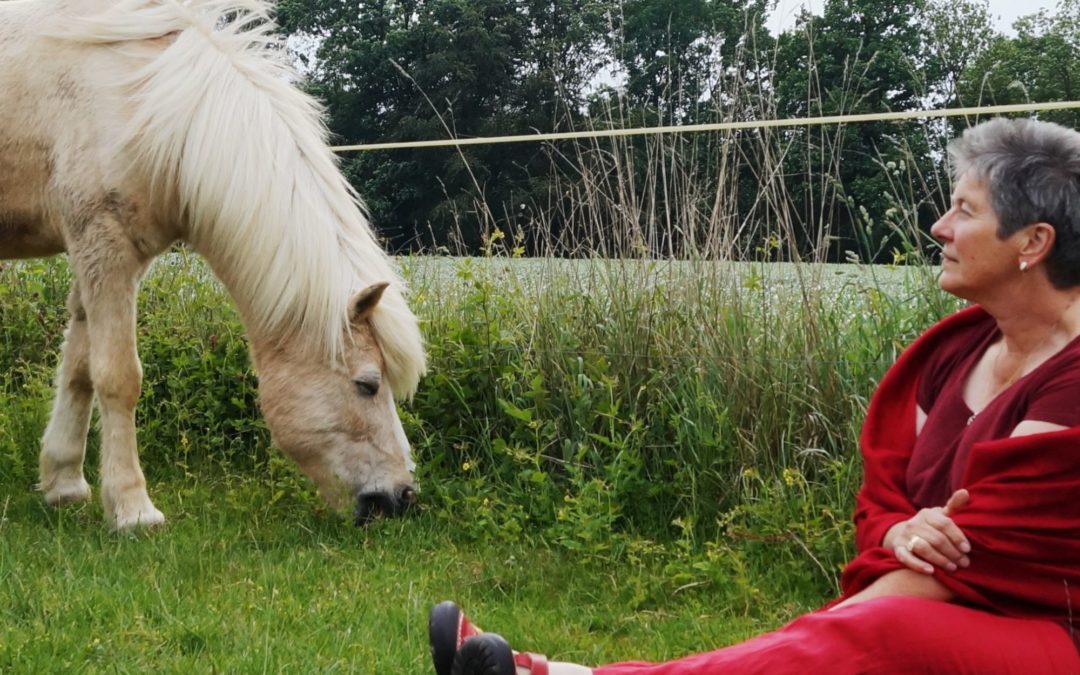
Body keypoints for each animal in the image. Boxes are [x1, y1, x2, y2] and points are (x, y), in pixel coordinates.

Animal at [0, 0, 429, 529]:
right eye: (367, 385)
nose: (401, 498)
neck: (144, 103)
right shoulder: (104, 246)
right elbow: (118, 377)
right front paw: (133, 508)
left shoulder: (98, 258)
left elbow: (80, 369)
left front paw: (64, 484)